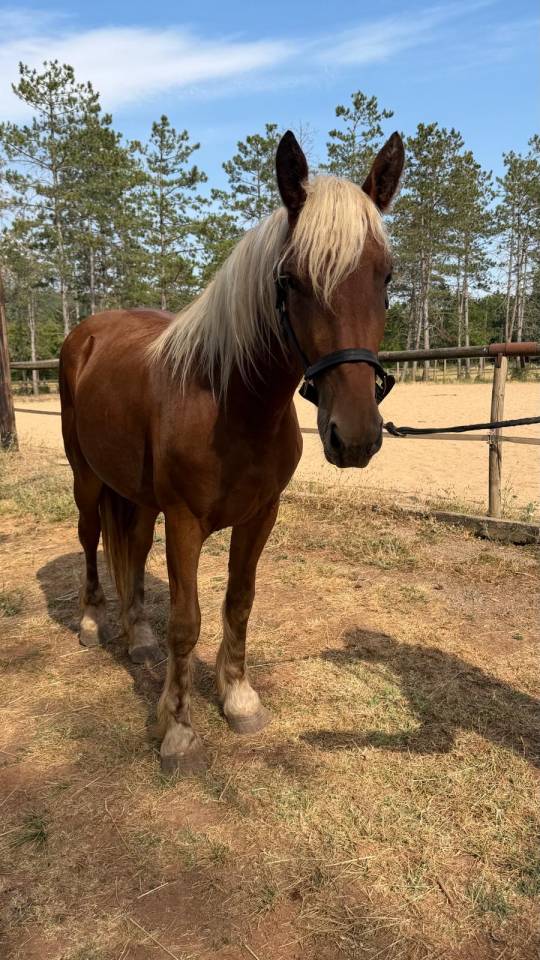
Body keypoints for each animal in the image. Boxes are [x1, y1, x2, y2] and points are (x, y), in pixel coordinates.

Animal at [59, 130, 404, 774]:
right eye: (291, 278)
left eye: (386, 276)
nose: (355, 436)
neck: (230, 402)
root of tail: (87, 334)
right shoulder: (185, 522)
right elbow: (187, 622)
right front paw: (178, 729)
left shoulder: (261, 514)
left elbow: (239, 602)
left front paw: (239, 698)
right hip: (87, 478)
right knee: (92, 539)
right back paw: (94, 621)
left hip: (138, 497)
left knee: (131, 551)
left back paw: (136, 637)